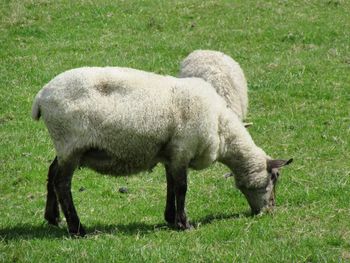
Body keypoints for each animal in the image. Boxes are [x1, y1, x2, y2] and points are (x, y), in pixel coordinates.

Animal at [31, 66, 292, 237]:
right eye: (275, 178)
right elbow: (182, 188)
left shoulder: (172, 154)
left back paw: (52, 217)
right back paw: (77, 228)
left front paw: (171, 219)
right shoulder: (182, 150)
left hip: (66, 147)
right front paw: (184, 224)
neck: (222, 130)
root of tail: (42, 96)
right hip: (70, 143)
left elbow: (171, 186)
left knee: (51, 172)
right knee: (62, 183)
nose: (270, 210)